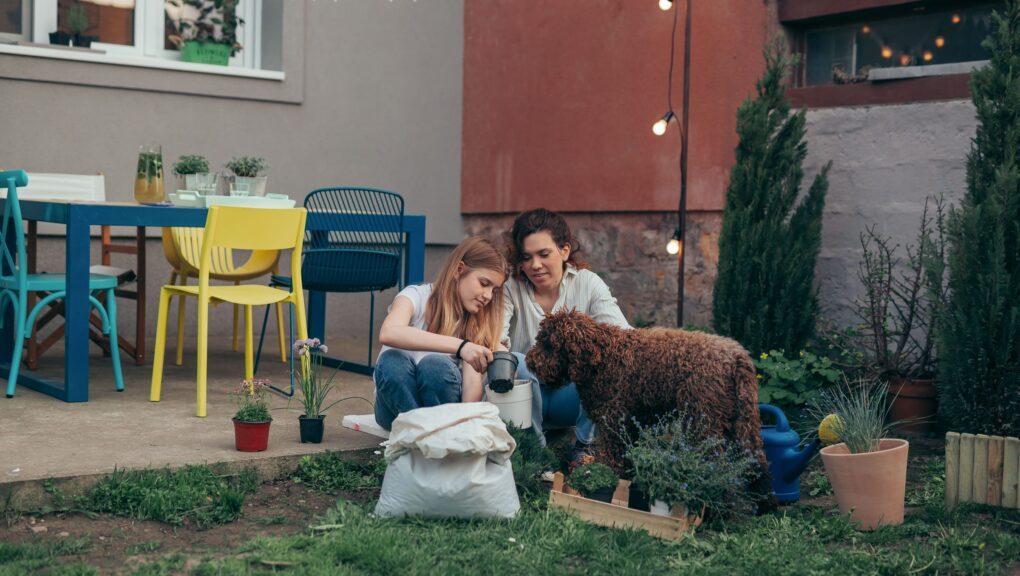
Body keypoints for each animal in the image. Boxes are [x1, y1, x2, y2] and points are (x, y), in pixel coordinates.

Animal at [526, 309, 771, 507]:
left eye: (549, 344)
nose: (529, 361)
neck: (602, 356)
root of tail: (737, 356)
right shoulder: (631, 425)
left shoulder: (614, 422)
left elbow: (612, 458)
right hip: (738, 422)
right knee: (755, 460)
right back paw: (764, 504)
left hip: (704, 421)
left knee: (718, 464)